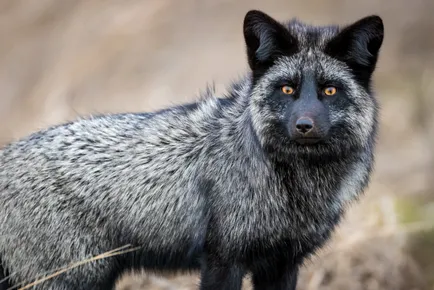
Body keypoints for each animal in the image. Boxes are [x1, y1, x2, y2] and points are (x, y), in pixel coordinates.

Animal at [1, 9, 384, 290]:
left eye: (330, 91)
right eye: (287, 89)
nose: (304, 125)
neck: (294, 188)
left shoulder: (281, 264)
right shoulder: (223, 259)